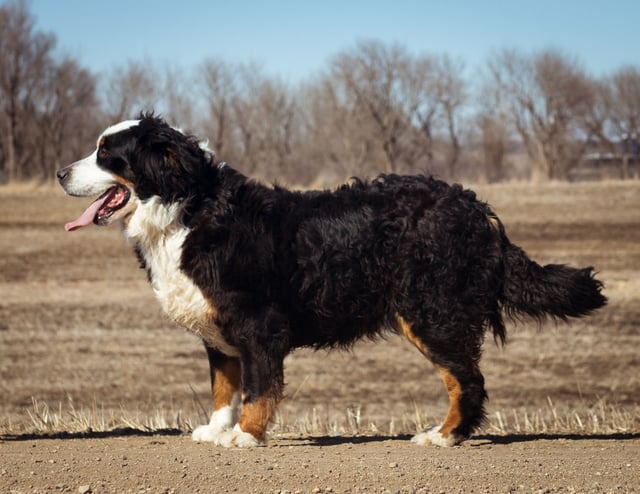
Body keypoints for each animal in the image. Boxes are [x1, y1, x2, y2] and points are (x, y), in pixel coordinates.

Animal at [57, 115, 608, 448]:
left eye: (107, 153)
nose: (61, 171)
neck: (186, 211)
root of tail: (473, 207)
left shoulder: (259, 326)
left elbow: (258, 389)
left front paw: (246, 437)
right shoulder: (218, 335)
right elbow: (223, 389)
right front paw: (216, 431)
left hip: (431, 313)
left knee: (467, 380)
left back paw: (442, 435)